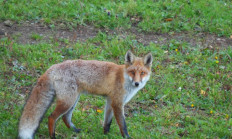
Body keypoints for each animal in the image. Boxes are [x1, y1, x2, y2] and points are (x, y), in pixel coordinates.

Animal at [18, 50, 152, 138]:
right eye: (132, 72)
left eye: (142, 73)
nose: (137, 83)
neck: (124, 78)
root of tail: (52, 67)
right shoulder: (117, 103)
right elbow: (123, 125)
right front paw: (126, 137)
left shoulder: (110, 101)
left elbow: (107, 122)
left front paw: (105, 135)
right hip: (68, 101)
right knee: (52, 117)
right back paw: (53, 136)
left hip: (73, 99)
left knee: (65, 118)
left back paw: (76, 131)